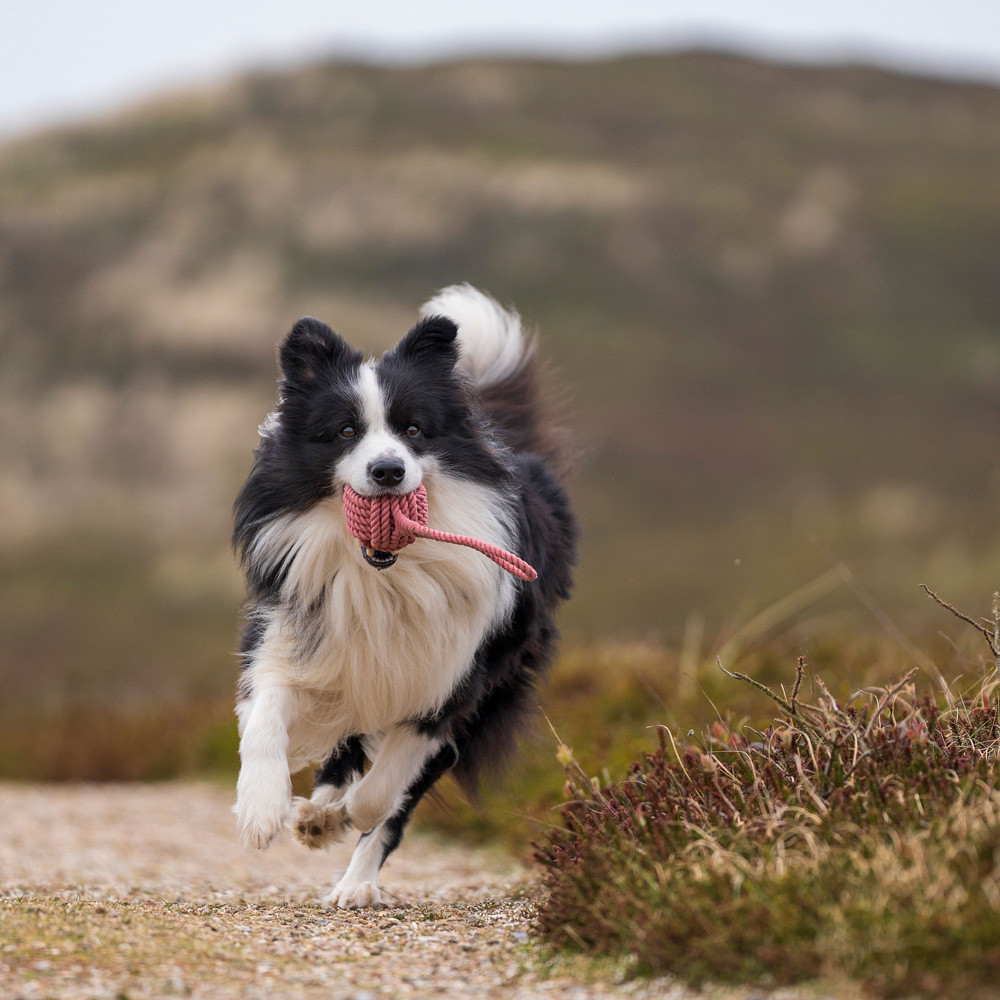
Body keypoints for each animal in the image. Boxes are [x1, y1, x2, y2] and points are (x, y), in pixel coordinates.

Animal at [230, 284, 576, 908]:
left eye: (414, 429)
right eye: (345, 431)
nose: (388, 471)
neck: (383, 576)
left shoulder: (452, 682)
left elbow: (384, 792)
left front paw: (342, 818)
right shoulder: (293, 640)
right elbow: (266, 718)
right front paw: (261, 810)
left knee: (391, 799)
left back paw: (352, 877)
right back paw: (316, 815)